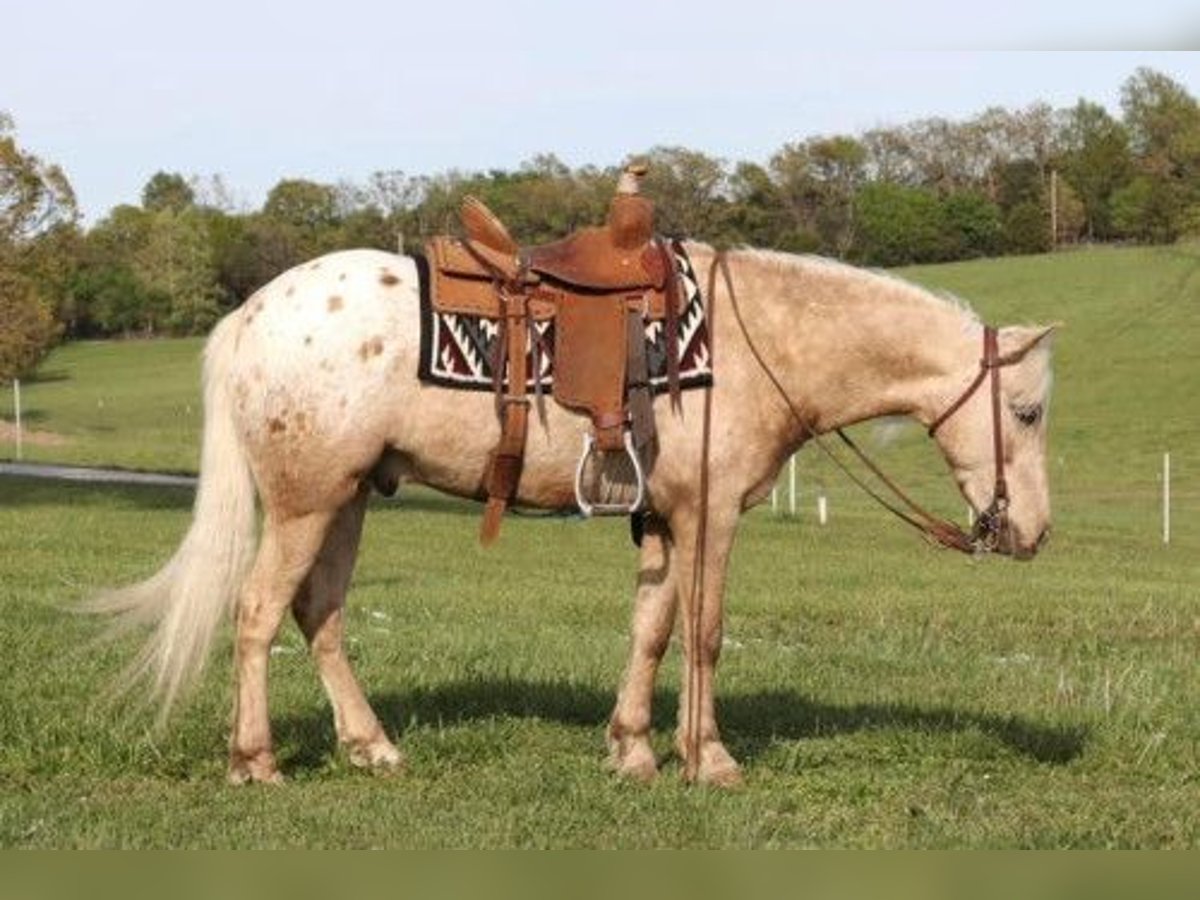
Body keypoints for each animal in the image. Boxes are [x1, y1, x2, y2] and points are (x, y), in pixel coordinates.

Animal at [105, 243, 1060, 787]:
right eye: (1027, 413)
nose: (1034, 532)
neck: (758, 342)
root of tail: (250, 314)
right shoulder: (712, 516)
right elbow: (705, 633)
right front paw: (709, 760)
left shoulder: (666, 519)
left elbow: (652, 630)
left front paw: (634, 750)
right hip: (307, 501)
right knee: (258, 614)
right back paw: (256, 761)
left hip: (347, 499)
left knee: (320, 616)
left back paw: (373, 748)